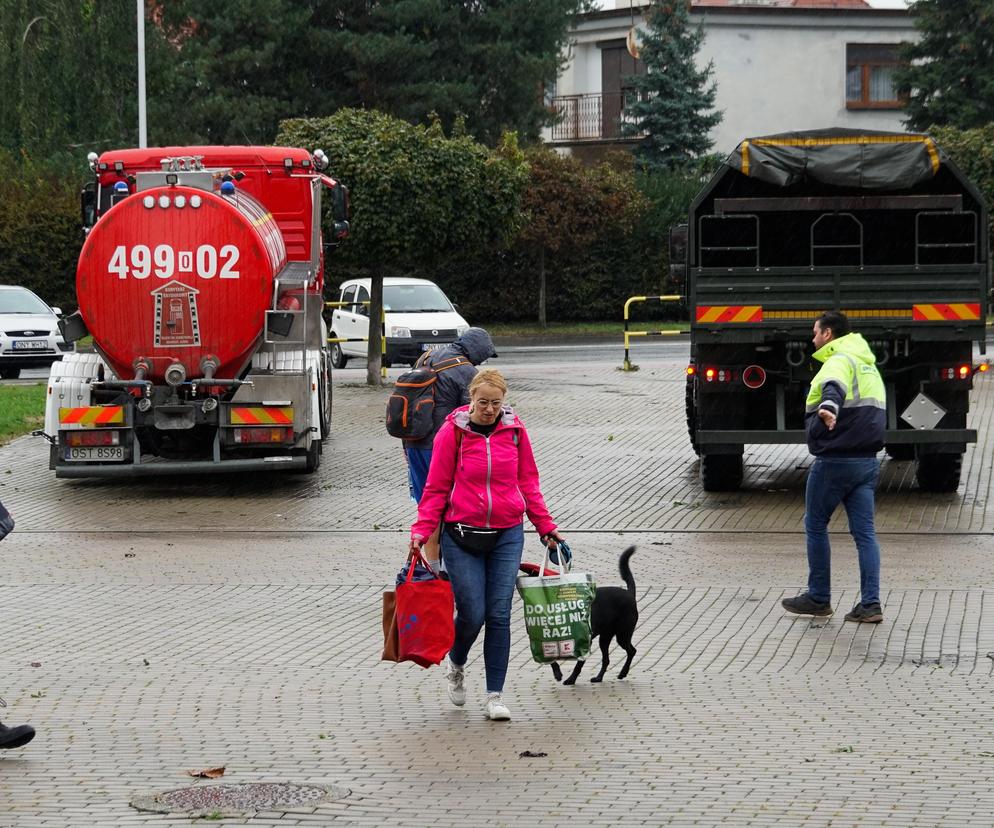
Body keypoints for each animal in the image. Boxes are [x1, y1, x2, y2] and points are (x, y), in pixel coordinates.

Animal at [552, 544, 636, 684]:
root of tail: (629, 593)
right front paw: (558, 673)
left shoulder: (587, 643)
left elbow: (578, 665)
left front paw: (571, 679)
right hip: (605, 638)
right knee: (606, 660)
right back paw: (599, 677)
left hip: (622, 635)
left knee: (632, 651)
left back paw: (623, 673)